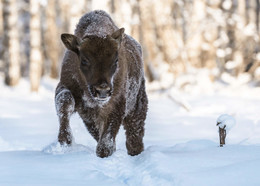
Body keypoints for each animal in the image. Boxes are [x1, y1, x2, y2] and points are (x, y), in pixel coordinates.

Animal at [54, 10, 148, 158]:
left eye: (116, 61)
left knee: (134, 134)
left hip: (137, 105)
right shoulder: (65, 87)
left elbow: (108, 135)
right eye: (84, 60)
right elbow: (64, 101)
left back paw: (135, 152)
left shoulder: (117, 102)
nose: (102, 90)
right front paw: (65, 140)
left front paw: (105, 151)